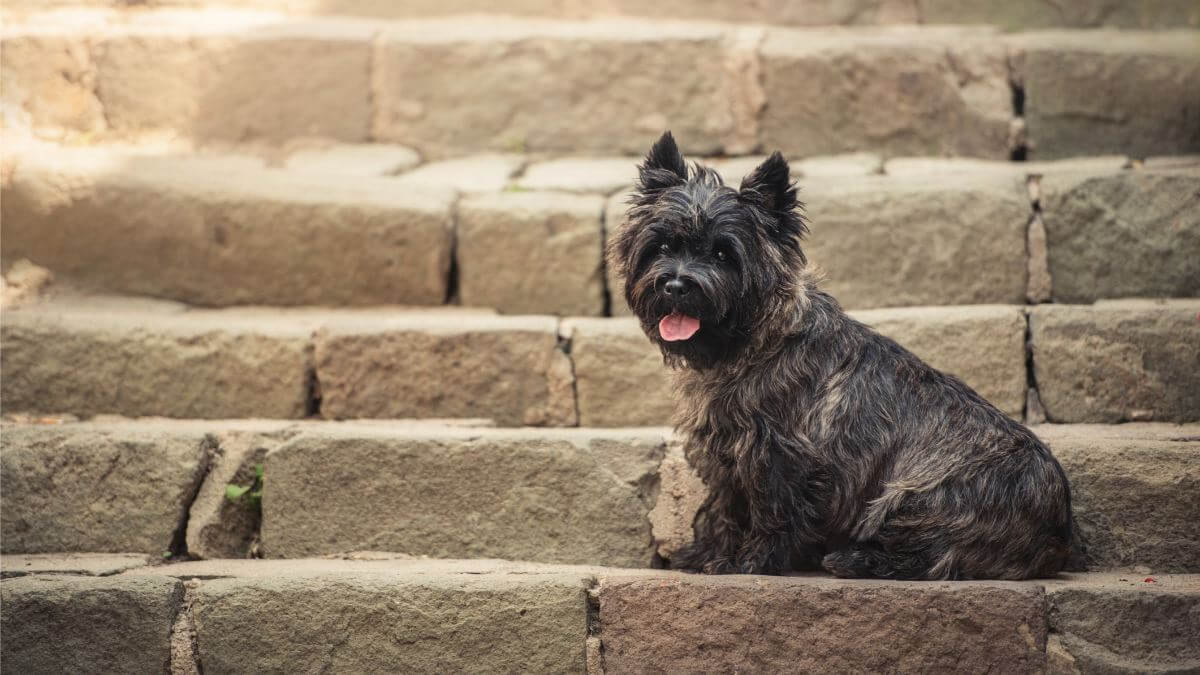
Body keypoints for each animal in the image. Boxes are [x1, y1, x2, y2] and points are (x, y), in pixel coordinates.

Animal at [609, 131, 1070, 578]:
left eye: (724, 253)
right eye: (663, 246)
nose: (675, 286)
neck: (754, 343)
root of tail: (1057, 533)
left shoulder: (776, 453)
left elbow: (771, 511)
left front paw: (749, 562)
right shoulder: (727, 455)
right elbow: (727, 508)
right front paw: (709, 553)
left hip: (915, 492)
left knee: (937, 556)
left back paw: (855, 560)